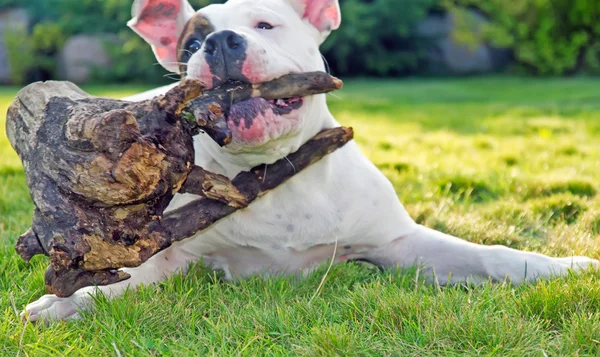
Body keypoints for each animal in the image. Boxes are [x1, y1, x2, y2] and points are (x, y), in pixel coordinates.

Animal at [21, 0, 596, 322]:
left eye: (265, 25)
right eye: (192, 42)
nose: (219, 42)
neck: (278, 172)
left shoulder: (397, 244)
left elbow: (493, 255)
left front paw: (564, 266)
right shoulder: (174, 256)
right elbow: (121, 280)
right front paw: (65, 303)